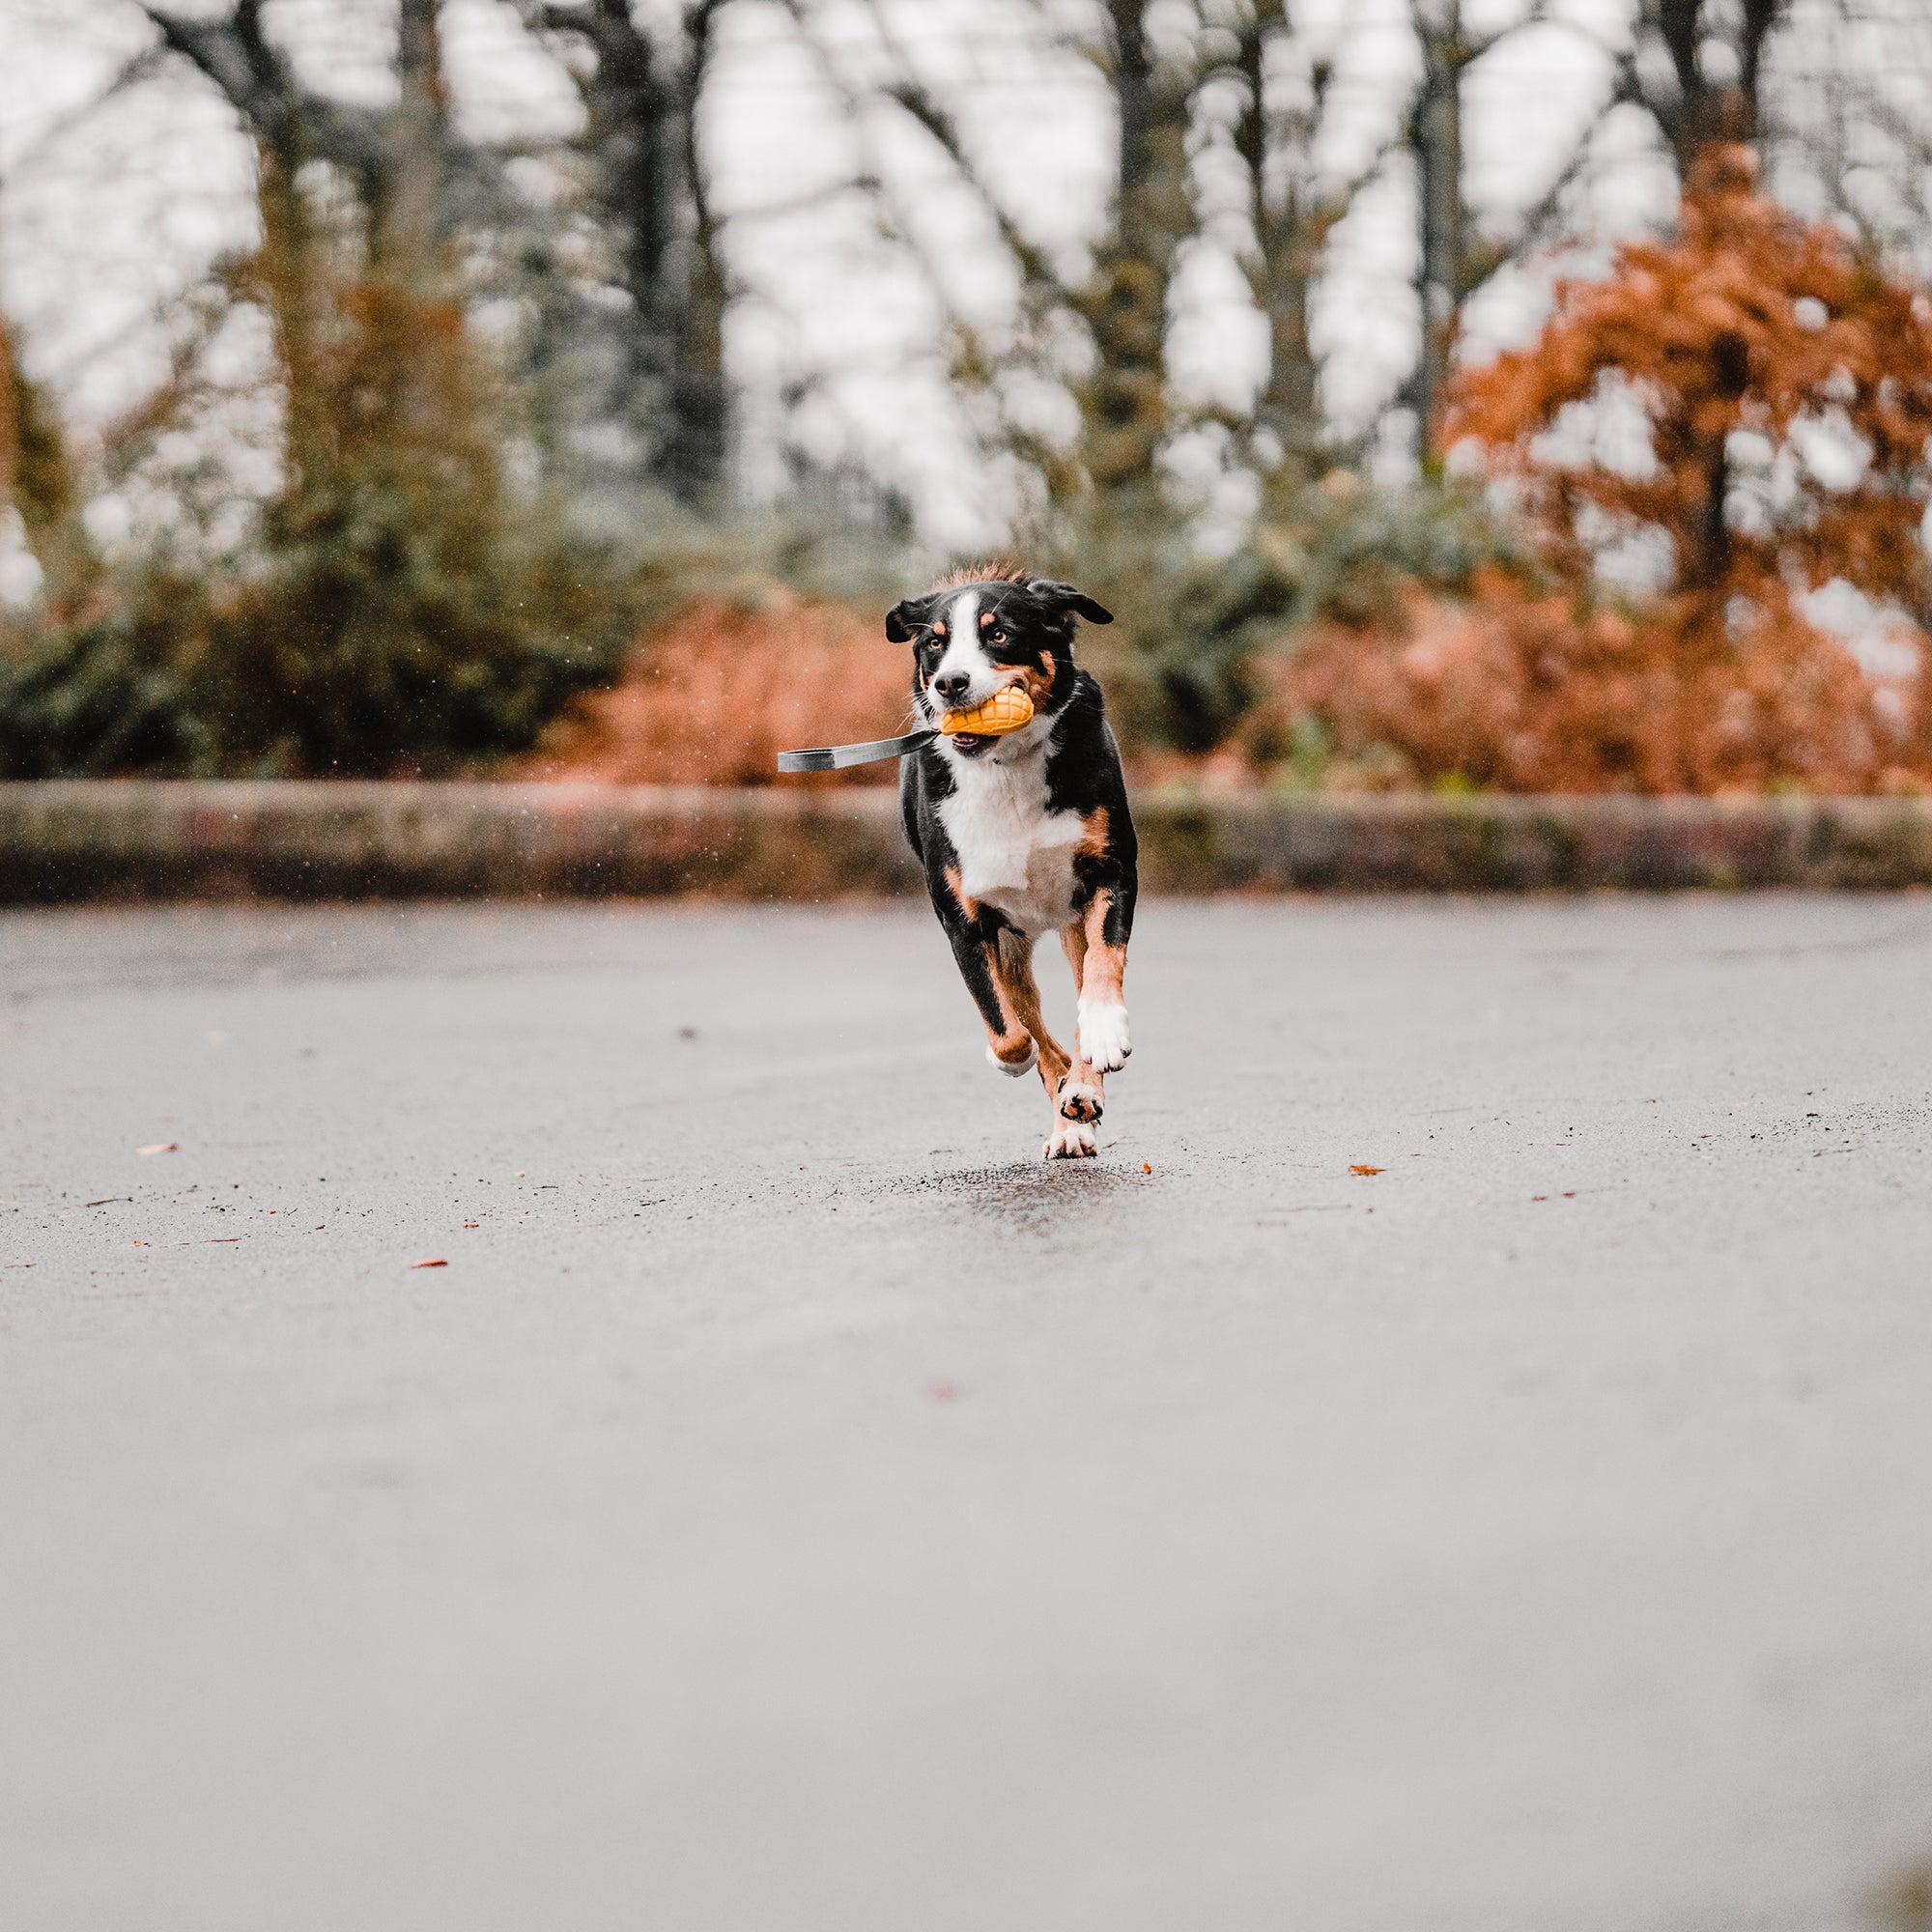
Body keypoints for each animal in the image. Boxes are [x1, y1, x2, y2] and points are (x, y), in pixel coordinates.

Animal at [896, 564, 1136, 1159]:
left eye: (1000, 634)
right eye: (935, 643)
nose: (950, 683)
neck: (1006, 767)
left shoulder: (1111, 873)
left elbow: (1103, 970)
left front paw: (1104, 1035)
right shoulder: (962, 918)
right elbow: (1006, 1027)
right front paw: (1020, 1059)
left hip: (1071, 921)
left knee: (1079, 987)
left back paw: (1082, 1088)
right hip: (1009, 942)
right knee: (1026, 1013)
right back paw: (1069, 1110)